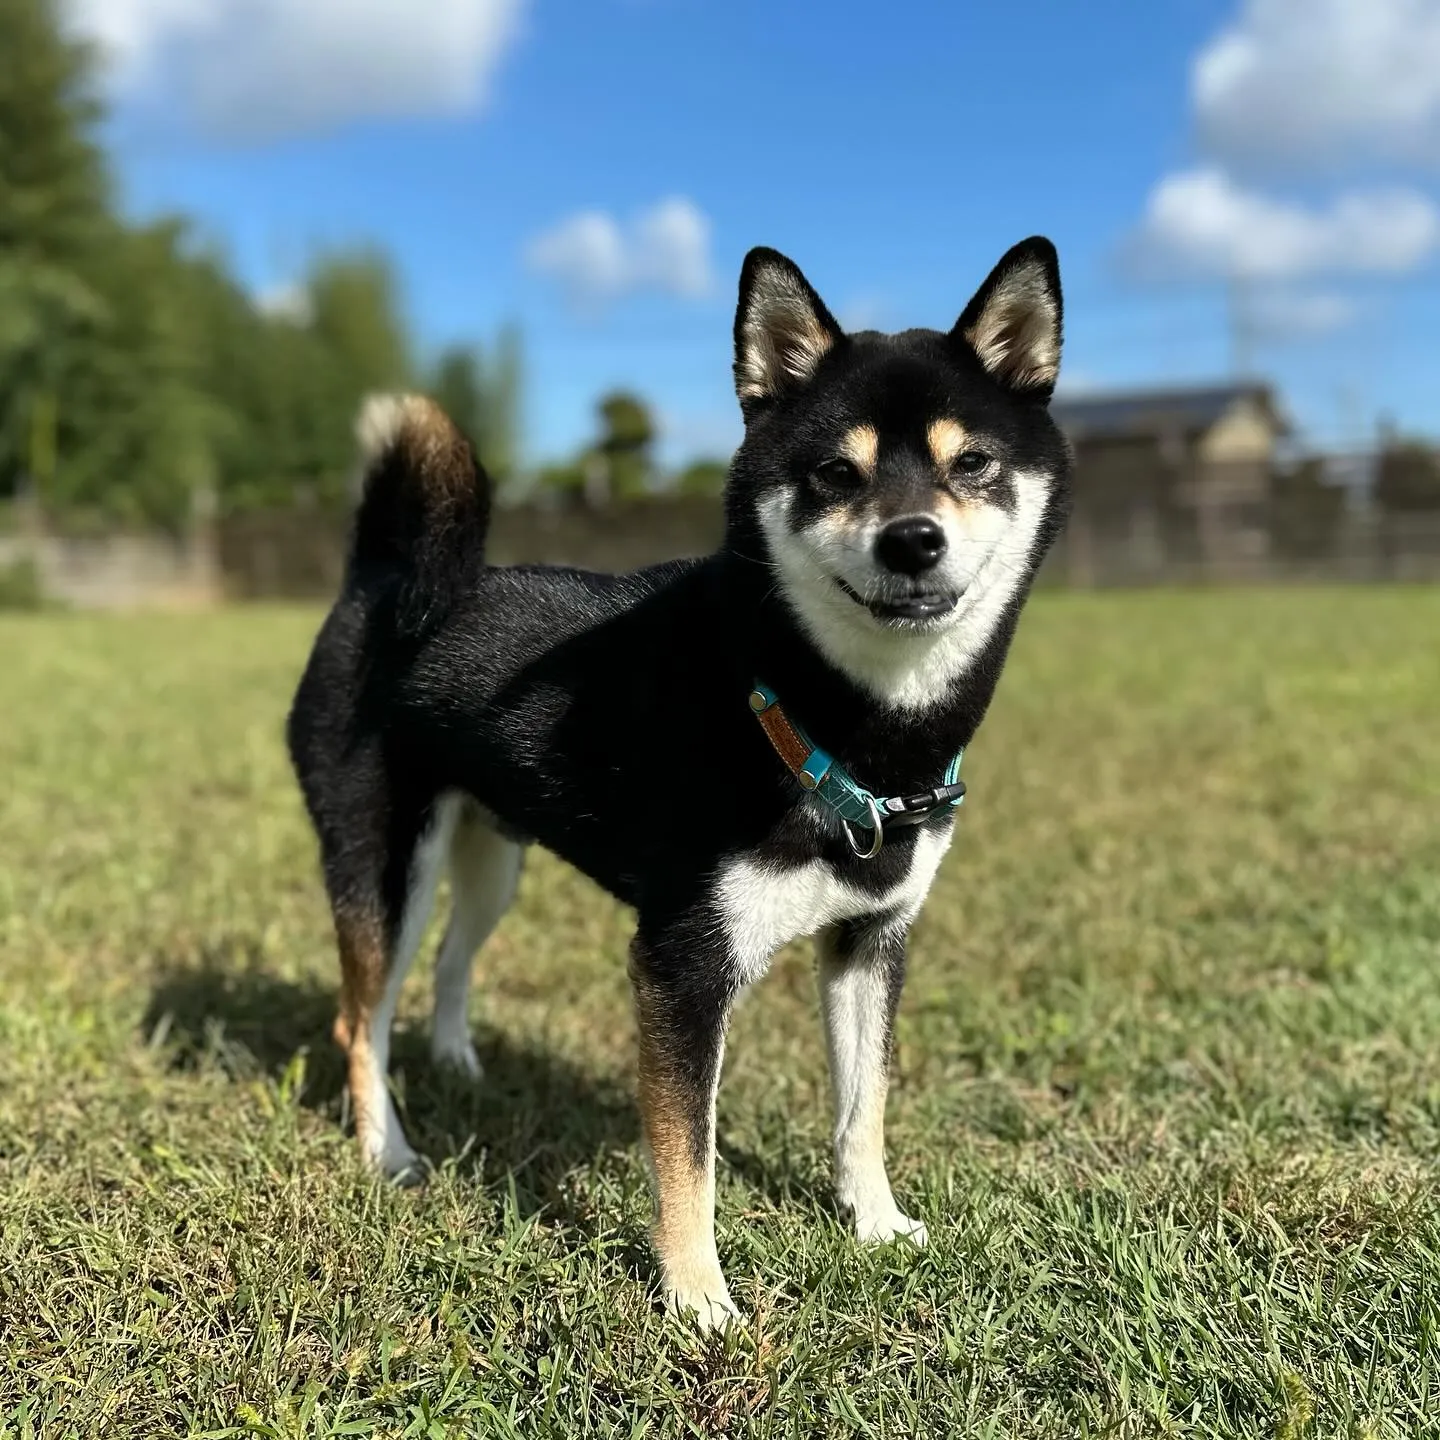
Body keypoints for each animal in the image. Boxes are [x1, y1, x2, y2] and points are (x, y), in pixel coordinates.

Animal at [286, 239, 1071, 1324]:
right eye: (835, 473)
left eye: (973, 463)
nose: (913, 538)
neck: (821, 714)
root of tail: (379, 581)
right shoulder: (683, 964)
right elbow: (685, 1155)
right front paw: (698, 1300)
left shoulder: (874, 939)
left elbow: (863, 1105)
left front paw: (876, 1225)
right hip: (384, 864)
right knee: (360, 1019)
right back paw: (390, 1151)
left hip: (492, 859)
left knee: (447, 960)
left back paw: (458, 1063)